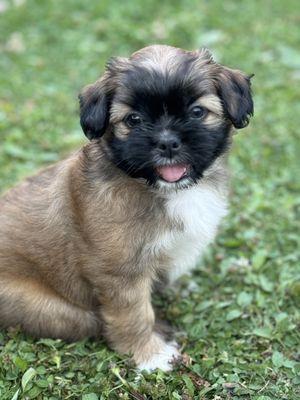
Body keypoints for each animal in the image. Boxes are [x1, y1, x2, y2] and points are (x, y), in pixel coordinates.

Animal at [0, 45, 253, 370]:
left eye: (197, 112)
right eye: (133, 120)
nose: (167, 142)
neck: (158, 187)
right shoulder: (120, 272)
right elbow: (134, 314)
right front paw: (148, 354)